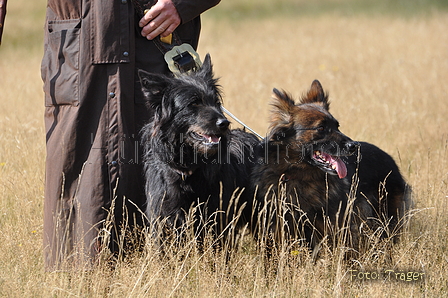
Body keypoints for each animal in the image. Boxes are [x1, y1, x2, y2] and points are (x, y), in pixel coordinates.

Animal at [138, 54, 258, 246]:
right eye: (194, 103)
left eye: (216, 102)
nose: (224, 123)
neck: (189, 168)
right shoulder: (163, 219)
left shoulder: (217, 220)